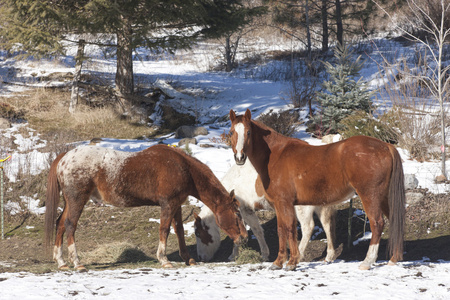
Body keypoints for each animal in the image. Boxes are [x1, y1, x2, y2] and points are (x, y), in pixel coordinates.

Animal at [44, 144, 248, 270]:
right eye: (237, 214)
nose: (244, 237)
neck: (182, 167)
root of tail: (64, 157)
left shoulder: (177, 205)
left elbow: (179, 231)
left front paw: (188, 258)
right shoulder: (168, 204)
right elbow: (164, 229)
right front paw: (164, 259)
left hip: (69, 202)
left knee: (60, 224)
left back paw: (61, 262)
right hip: (77, 200)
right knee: (70, 226)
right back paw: (77, 263)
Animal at [230, 109, 406, 270]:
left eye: (248, 132)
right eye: (232, 132)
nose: (239, 157)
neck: (275, 155)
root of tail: (386, 146)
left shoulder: (285, 202)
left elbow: (289, 229)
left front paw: (292, 262)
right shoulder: (279, 205)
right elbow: (282, 230)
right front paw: (279, 262)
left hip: (370, 195)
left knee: (377, 223)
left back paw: (367, 262)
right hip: (384, 197)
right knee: (394, 221)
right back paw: (394, 259)